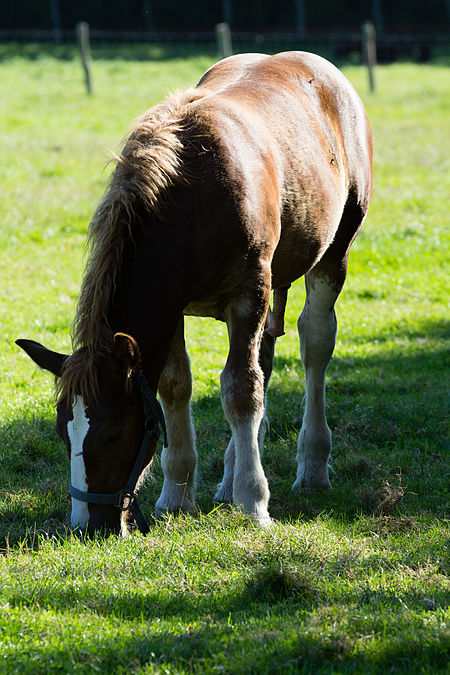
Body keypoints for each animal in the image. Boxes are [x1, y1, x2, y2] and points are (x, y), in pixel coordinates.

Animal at [14, 52, 372, 536]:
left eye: (112, 433)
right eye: (60, 430)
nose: (87, 525)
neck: (193, 198)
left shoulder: (249, 294)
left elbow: (240, 390)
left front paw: (254, 502)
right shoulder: (174, 307)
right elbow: (175, 385)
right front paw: (177, 493)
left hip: (331, 258)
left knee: (313, 345)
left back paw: (311, 468)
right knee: (265, 358)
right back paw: (228, 476)